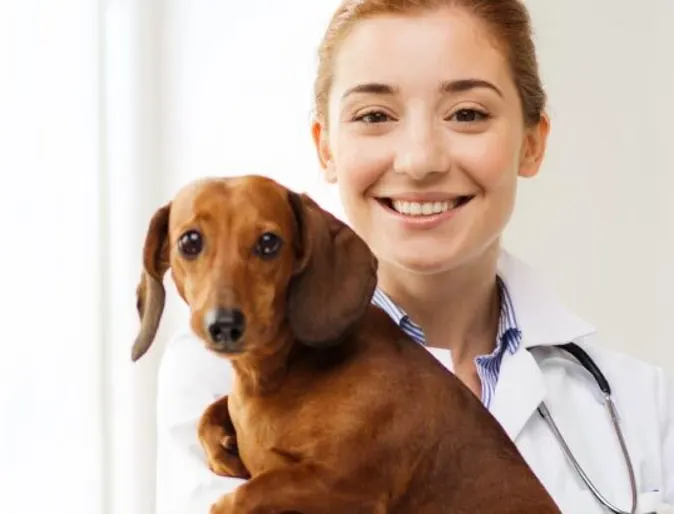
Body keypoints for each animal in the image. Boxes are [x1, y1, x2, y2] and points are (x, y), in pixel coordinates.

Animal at [130, 174, 556, 510]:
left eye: (269, 243)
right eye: (190, 241)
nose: (224, 325)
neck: (282, 375)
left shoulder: (347, 484)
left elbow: (250, 492)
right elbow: (209, 417)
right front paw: (223, 448)